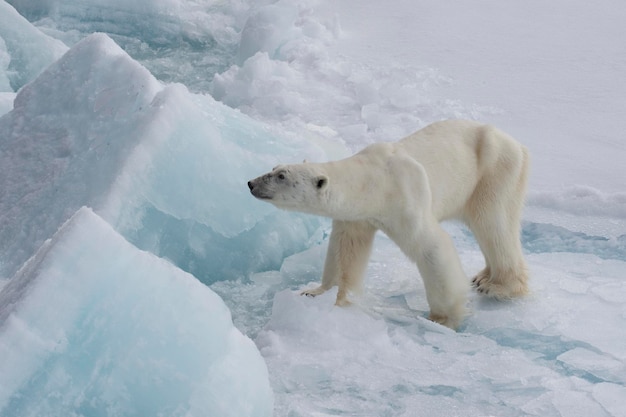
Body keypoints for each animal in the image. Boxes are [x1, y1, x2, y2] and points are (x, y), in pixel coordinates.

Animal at [247, 118, 528, 328]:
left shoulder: (405, 199)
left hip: (494, 171)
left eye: (282, 176)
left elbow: (432, 248)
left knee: (493, 223)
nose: (251, 183)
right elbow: (345, 249)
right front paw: (317, 292)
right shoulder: (358, 216)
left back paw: (499, 286)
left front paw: (443, 318)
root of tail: (517, 144)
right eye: (274, 167)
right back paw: (482, 278)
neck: (374, 181)